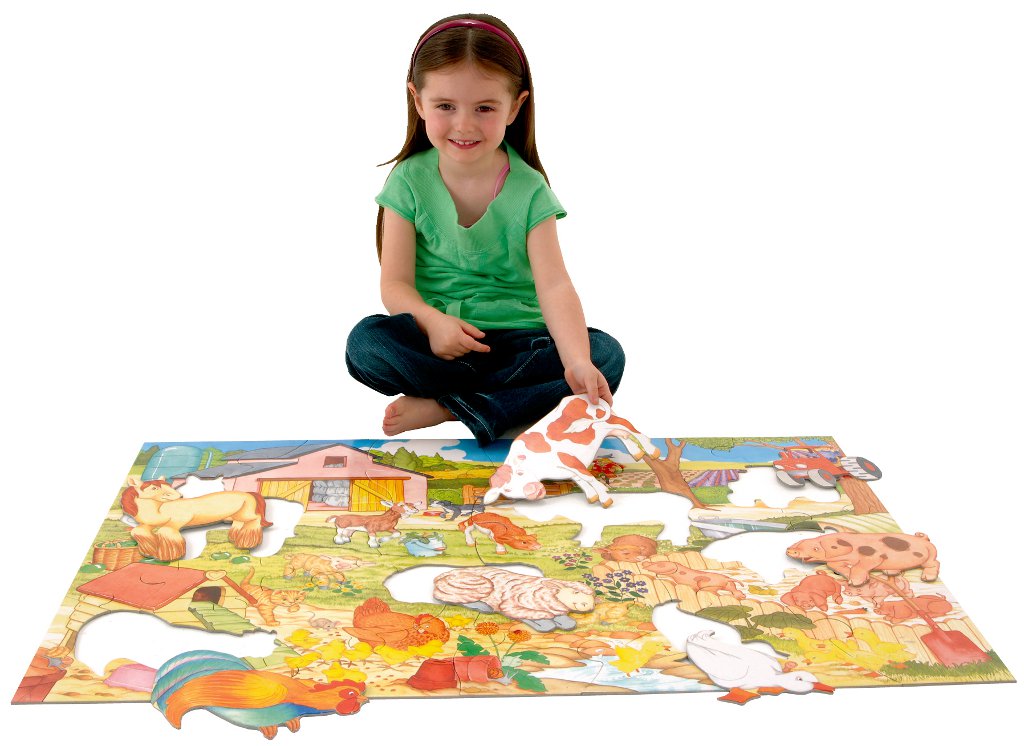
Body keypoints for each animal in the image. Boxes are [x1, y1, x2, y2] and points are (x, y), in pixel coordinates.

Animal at [483, 395, 659, 505]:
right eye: (507, 489)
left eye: (520, 472)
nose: (531, 490)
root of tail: (579, 396)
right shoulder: (569, 471)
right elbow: (581, 481)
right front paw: (592, 498)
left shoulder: (568, 459)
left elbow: (589, 478)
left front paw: (605, 500)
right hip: (602, 428)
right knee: (621, 433)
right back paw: (637, 454)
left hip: (606, 418)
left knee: (626, 425)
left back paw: (652, 451)